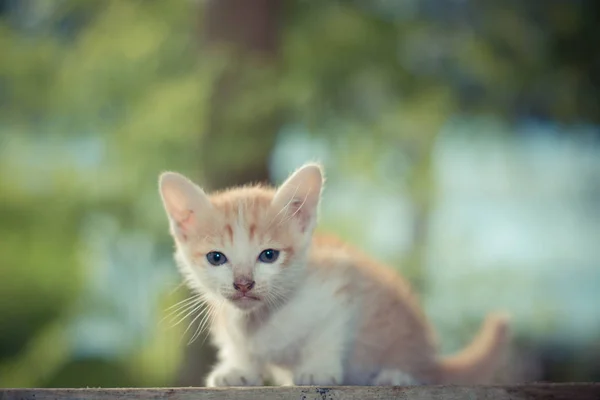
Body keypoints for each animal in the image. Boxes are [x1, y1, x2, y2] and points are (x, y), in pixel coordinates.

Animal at [157, 163, 508, 388]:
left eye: (268, 255)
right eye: (216, 258)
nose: (243, 283)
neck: (264, 319)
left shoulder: (341, 283)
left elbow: (328, 333)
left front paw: (317, 368)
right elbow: (237, 344)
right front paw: (239, 369)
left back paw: (396, 375)